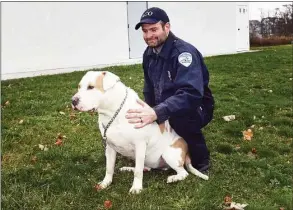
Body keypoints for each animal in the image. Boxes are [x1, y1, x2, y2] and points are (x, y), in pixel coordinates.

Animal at [70, 70, 208, 194]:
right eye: (79, 86)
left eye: (91, 87)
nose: (73, 100)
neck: (112, 113)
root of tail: (187, 153)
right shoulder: (109, 146)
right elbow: (109, 168)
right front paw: (105, 183)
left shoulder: (140, 145)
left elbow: (138, 172)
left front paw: (136, 188)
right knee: (144, 167)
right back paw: (128, 168)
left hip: (169, 154)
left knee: (183, 173)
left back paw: (173, 178)